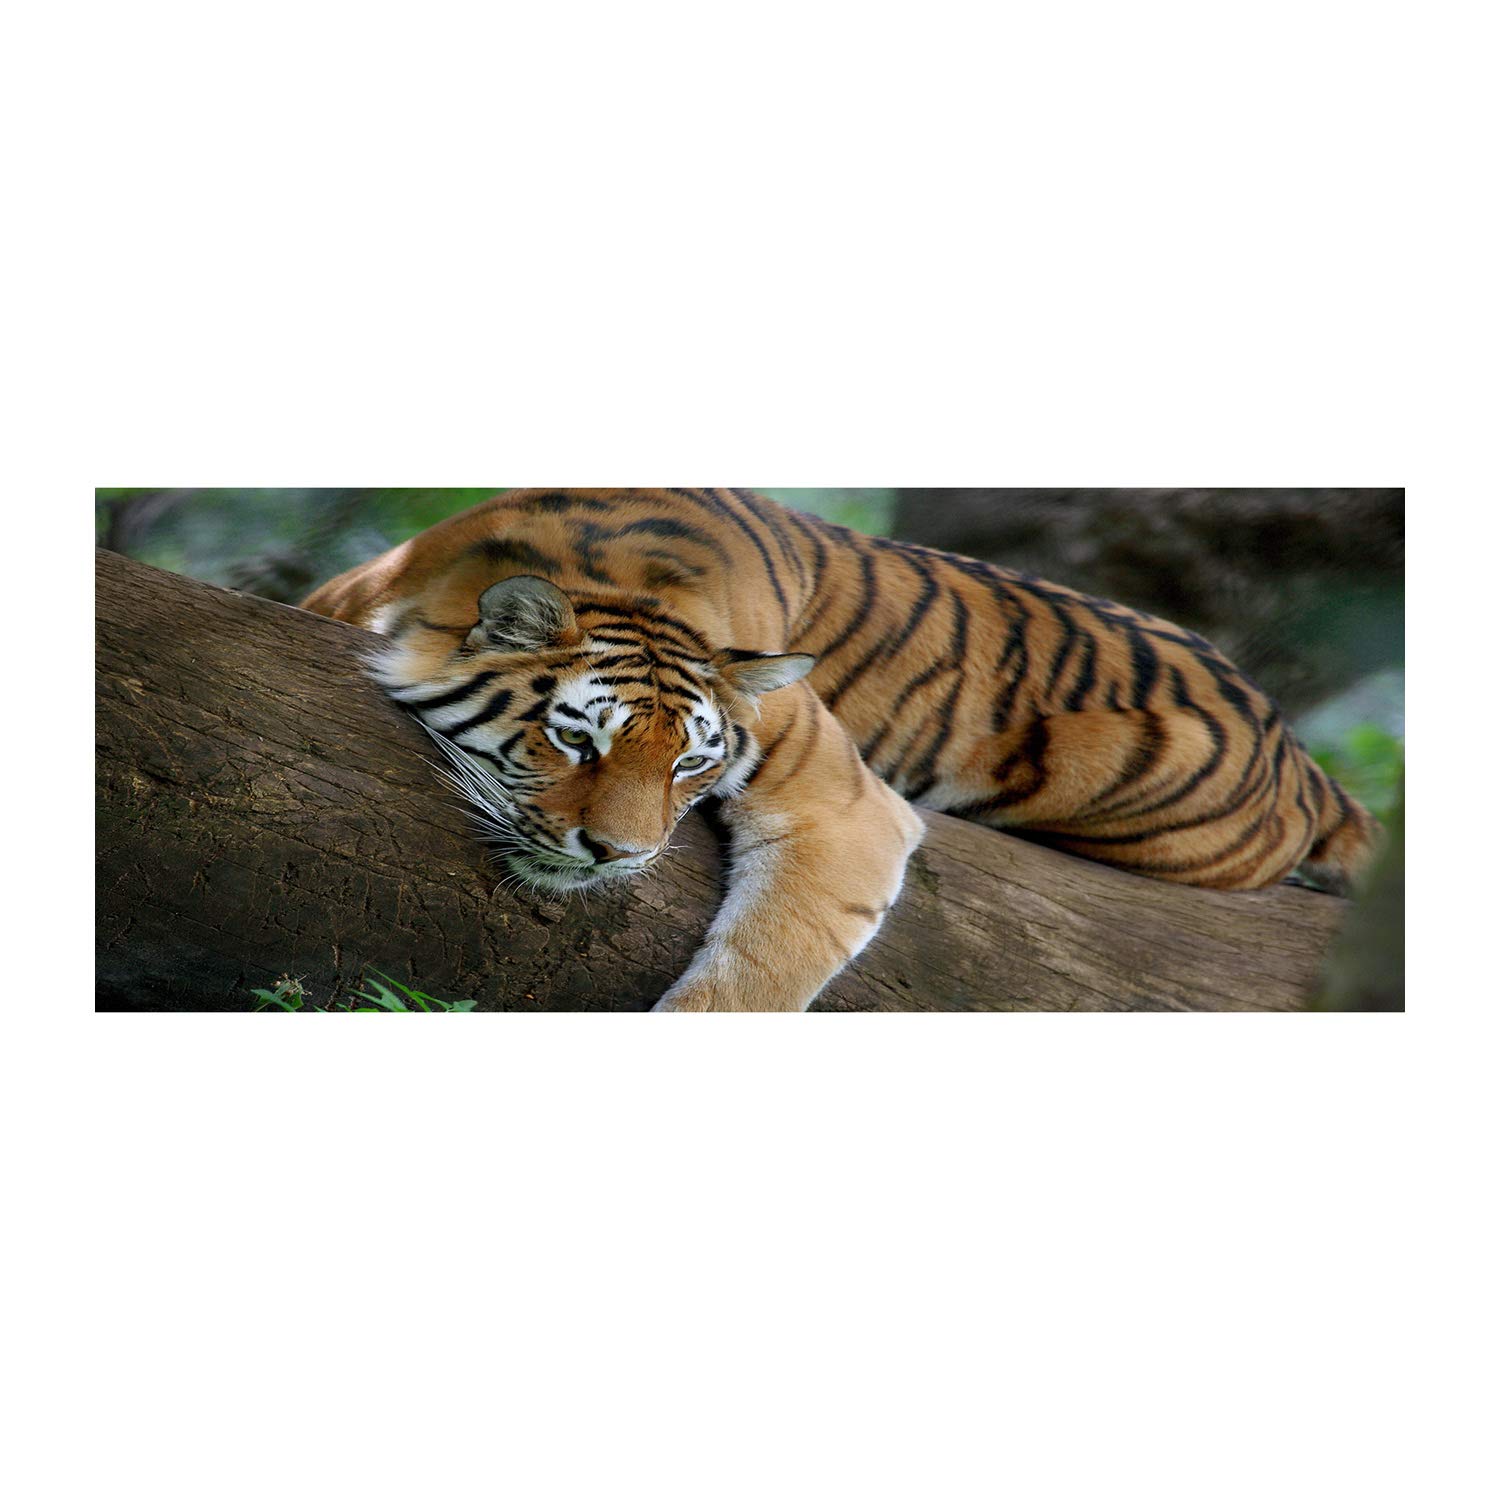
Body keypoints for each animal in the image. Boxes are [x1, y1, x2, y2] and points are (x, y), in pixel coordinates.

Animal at [300, 487, 1379, 1012]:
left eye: (690, 763)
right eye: (576, 741)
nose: (620, 856)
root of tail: (1299, 755)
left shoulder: (843, 803)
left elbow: (761, 969)